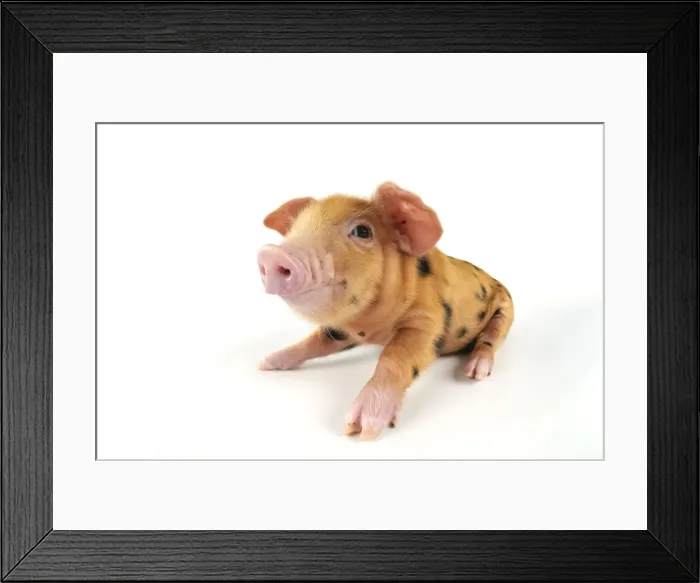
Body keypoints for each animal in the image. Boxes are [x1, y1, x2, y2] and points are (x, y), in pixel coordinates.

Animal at [257, 181, 514, 440]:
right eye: (295, 227)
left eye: (363, 231)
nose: (271, 254)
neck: (373, 330)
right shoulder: (341, 332)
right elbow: (313, 342)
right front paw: (266, 362)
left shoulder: (428, 320)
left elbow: (395, 357)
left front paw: (360, 429)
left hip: (506, 310)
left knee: (491, 339)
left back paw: (475, 372)